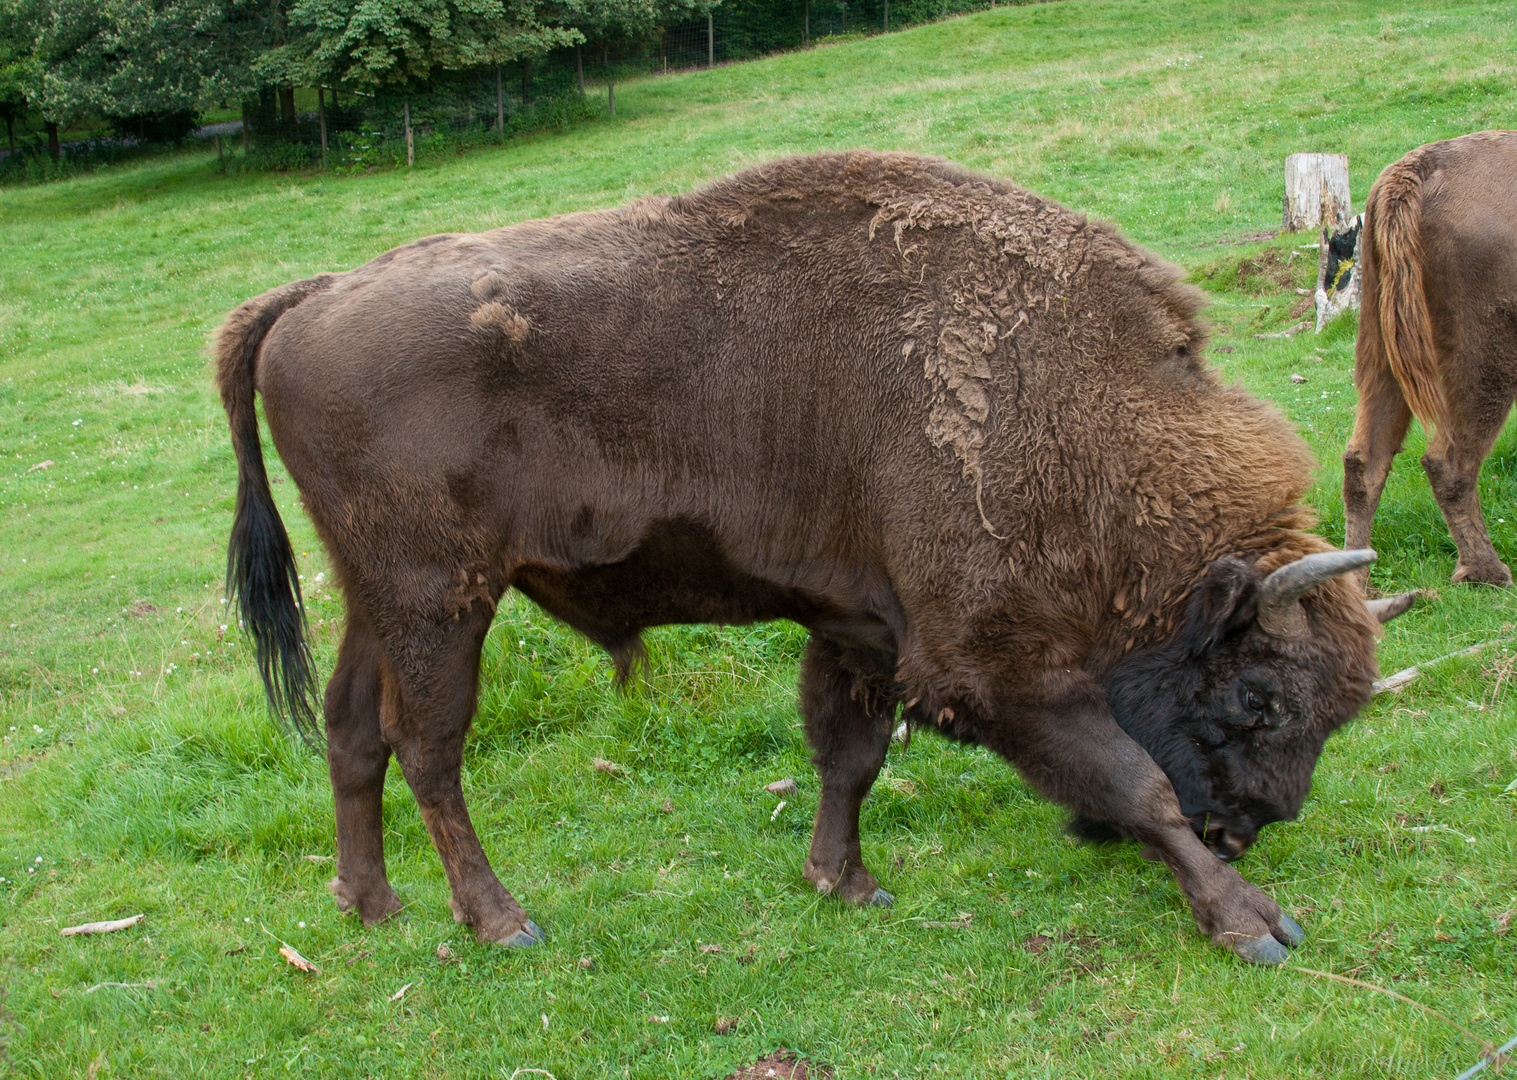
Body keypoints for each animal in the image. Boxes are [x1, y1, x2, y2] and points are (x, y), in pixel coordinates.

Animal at [219, 147, 1413, 964]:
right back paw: (500, 921)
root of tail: (308, 298)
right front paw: (1252, 925)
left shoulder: (859, 629)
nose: (1246, 828)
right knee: (429, 747)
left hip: (377, 595)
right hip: (440, 598)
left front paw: (844, 883)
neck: (1078, 416)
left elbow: (851, 754)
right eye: (1259, 696)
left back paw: (370, 904)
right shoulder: (989, 662)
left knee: (349, 728)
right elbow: (1132, 780)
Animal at [1347, 132, 1517, 591]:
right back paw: (1489, 572)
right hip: (1486, 350)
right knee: (1451, 460)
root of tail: (1418, 168)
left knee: (1365, 458)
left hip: (1380, 340)